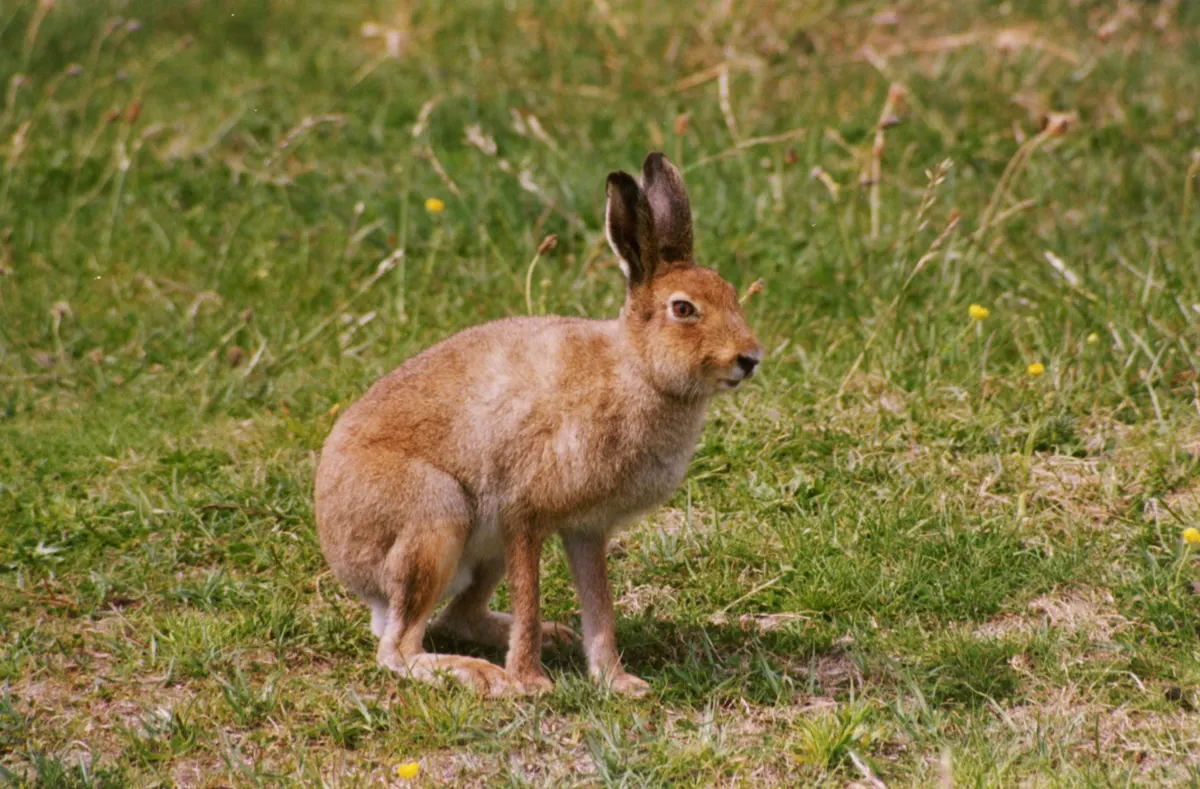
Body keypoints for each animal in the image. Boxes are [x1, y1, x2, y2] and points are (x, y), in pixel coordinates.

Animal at [314, 152, 762, 697]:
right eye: (683, 308)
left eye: (731, 293)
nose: (749, 358)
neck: (636, 369)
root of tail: (340, 554)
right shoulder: (523, 512)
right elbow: (530, 598)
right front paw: (530, 683)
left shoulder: (587, 528)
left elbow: (600, 609)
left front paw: (618, 682)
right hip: (437, 517)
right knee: (398, 648)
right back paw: (483, 675)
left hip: (483, 549)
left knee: (455, 618)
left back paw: (553, 637)